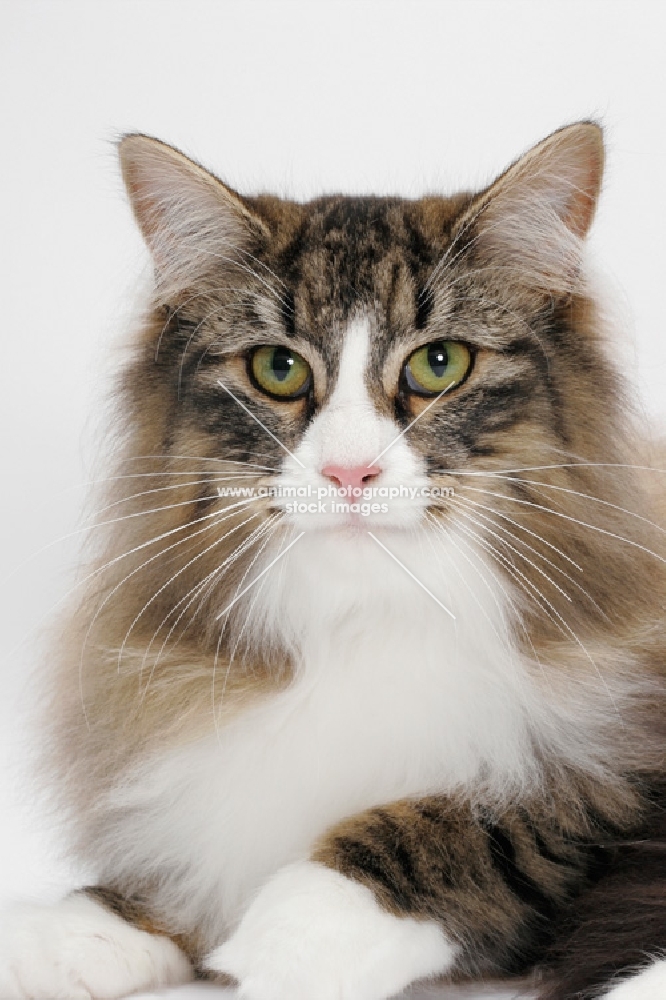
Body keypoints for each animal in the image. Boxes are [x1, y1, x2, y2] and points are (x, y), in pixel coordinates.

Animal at [1, 125, 664, 1000]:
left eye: (440, 364)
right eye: (278, 370)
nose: (351, 472)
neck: (367, 615)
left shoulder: (613, 769)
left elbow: (470, 823)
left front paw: (278, 941)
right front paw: (79, 932)